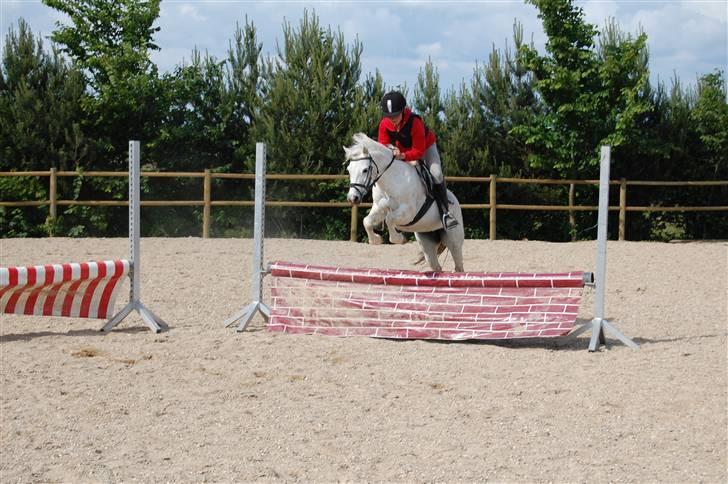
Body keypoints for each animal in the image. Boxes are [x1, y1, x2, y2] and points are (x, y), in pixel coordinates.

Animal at [342, 132, 466, 272]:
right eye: (349, 169)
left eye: (365, 170)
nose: (352, 198)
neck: (391, 180)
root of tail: (455, 200)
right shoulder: (378, 208)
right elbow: (367, 221)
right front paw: (376, 240)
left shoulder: (408, 213)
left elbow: (389, 219)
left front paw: (399, 239)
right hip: (426, 239)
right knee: (436, 266)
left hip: (453, 239)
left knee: (458, 265)